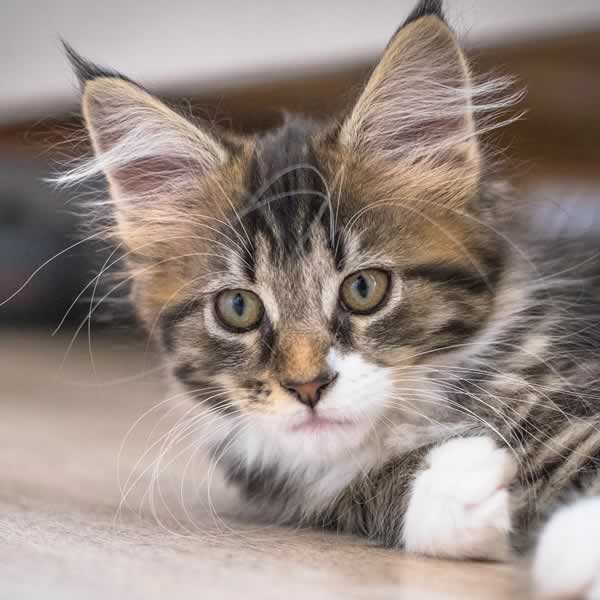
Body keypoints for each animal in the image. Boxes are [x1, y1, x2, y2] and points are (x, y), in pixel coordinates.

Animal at [61, 1, 600, 596]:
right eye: (238, 308)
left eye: (364, 290)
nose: (307, 387)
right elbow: (354, 484)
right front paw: (457, 481)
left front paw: (577, 540)